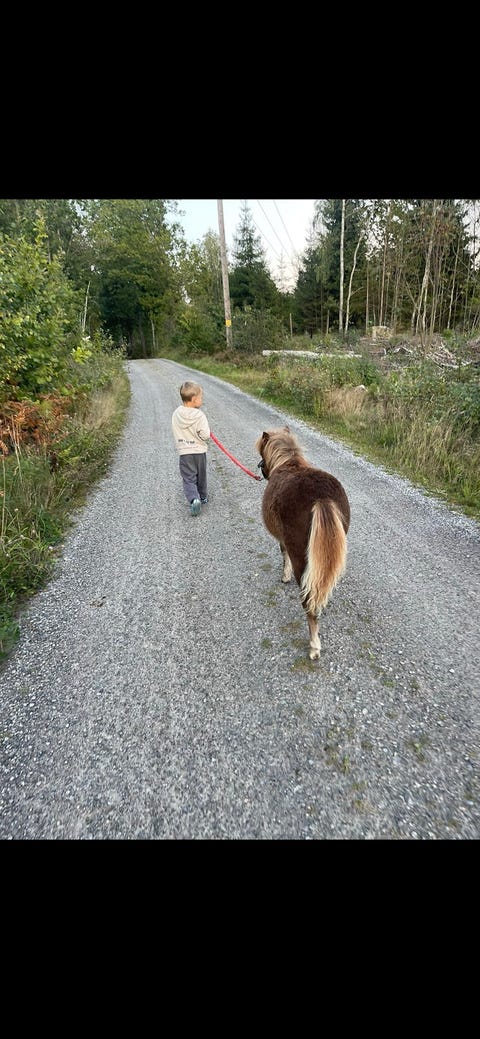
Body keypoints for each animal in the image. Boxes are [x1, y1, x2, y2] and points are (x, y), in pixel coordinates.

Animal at [255, 427, 350, 660]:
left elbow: (284, 555)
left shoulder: (283, 540)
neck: (288, 462)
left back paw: (314, 646)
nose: (262, 469)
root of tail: (322, 498)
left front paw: (285, 577)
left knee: (308, 601)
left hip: (302, 558)